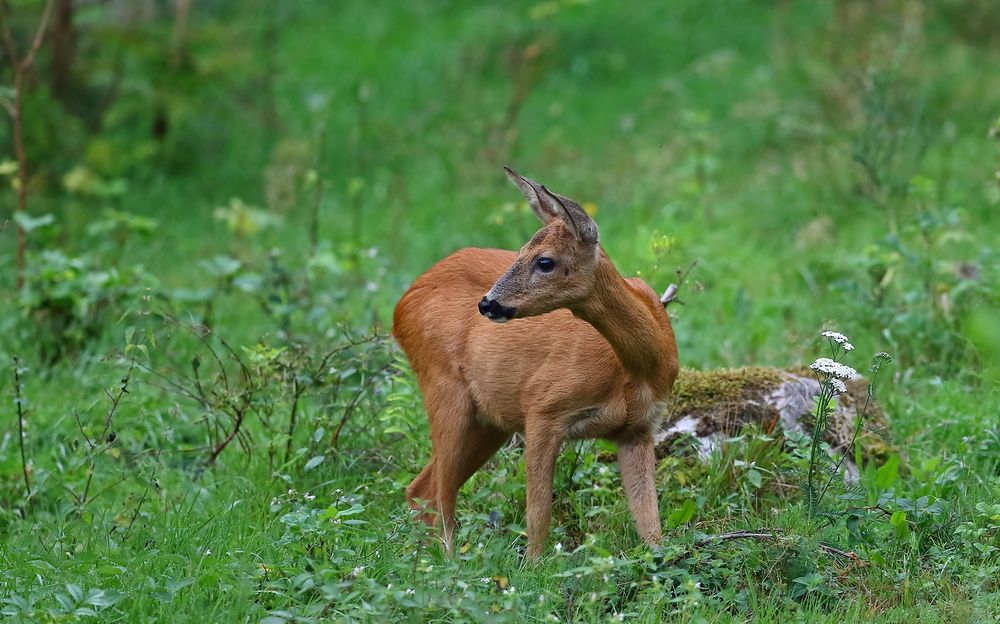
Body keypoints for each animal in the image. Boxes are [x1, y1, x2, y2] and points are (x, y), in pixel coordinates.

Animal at [392, 166, 680, 556]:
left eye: (544, 261)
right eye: (520, 251)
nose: (488, 303)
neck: (636, 368)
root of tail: (401, 305)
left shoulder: (639, 429)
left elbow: (652, 528)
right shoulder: (543, 406)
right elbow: (539, 515)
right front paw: (534, 568)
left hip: (490, 420)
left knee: (421, 490)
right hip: (443, 386)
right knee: (440, 495)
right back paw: (448, 563)